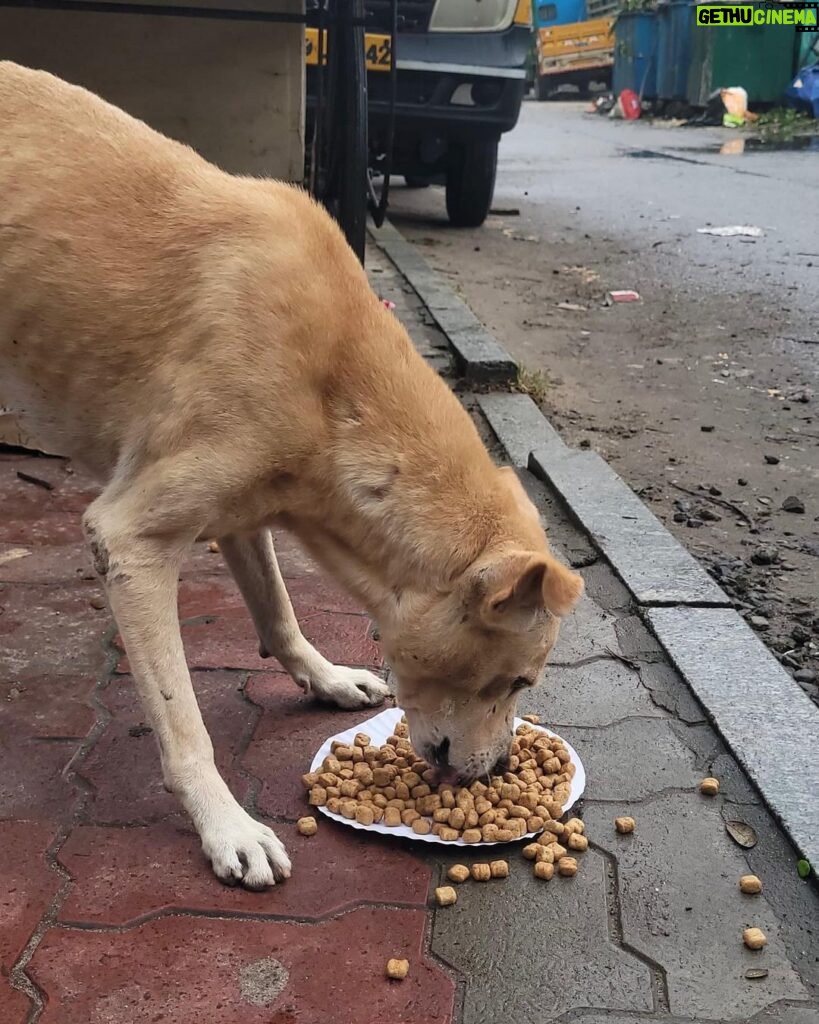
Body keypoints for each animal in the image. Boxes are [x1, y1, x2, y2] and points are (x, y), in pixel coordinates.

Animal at [0, 64, 581, 888]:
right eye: (520, 682)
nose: (495, 772)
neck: (336, 386)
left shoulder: (244, 511)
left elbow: (278, 612)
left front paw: (325, 677)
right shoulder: (130, 541)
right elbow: (184, 724)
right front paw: (225, 825)